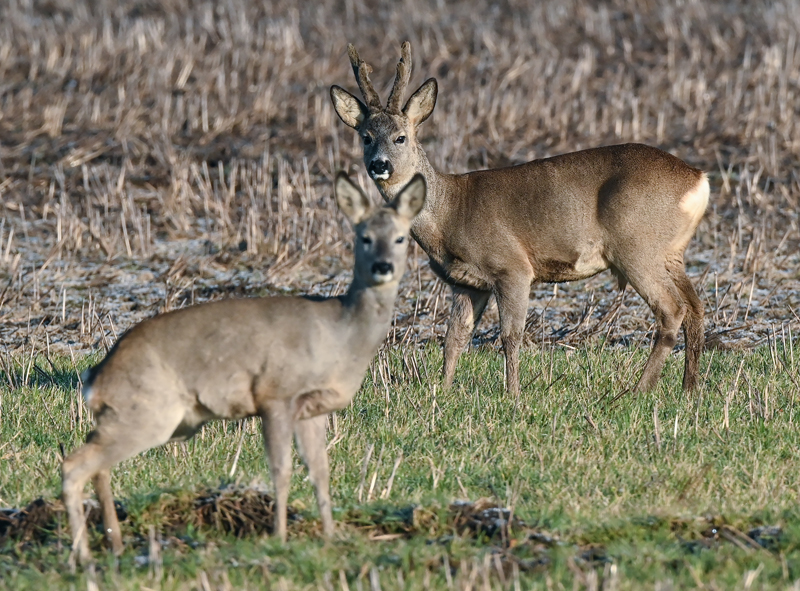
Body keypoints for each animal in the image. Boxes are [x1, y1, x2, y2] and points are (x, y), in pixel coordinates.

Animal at [61, 171, 424, 564]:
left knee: (98, 465)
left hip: (126, 415)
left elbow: (320, 471)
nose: (383, 267)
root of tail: (96, 377)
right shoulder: (275, 394)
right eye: (364, 237)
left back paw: (114, 544)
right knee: (74, 465)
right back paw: (82, 556)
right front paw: (279, 536)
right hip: (146, 410)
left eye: (401, 237)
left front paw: (330, 536)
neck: (340, 337)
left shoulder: (312, 407)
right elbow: (281, 470)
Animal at [330, 42, 708, 398]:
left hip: (636, 247)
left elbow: (510, 336)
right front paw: (443, 390)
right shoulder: (466, 283)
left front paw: (512, 393)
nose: (379, 165)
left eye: (400, 137)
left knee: (671, 310)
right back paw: (689, 389)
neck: (449, 211)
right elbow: (454, 338)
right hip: (670, 253)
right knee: (695, 307)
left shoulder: (511, 266)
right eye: (365, 137)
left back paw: (638, 390)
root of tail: (698, 178)